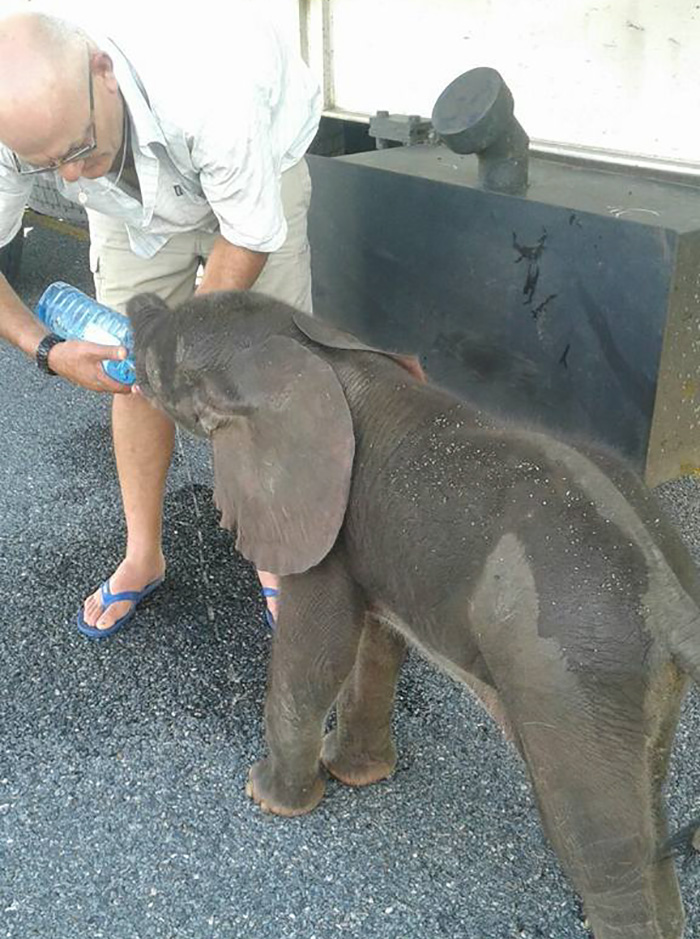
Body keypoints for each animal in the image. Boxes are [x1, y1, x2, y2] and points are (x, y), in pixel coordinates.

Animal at [130, 290, 700, 936]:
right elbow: (375, 644)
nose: (138, 303)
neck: (309, 353)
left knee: (598, 844)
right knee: (649, 810)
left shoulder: (322, 526)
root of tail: (671, 604)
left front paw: (266, 799)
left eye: (161, 367)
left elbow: (317, 652)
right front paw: (355, 775)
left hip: (569, 673)